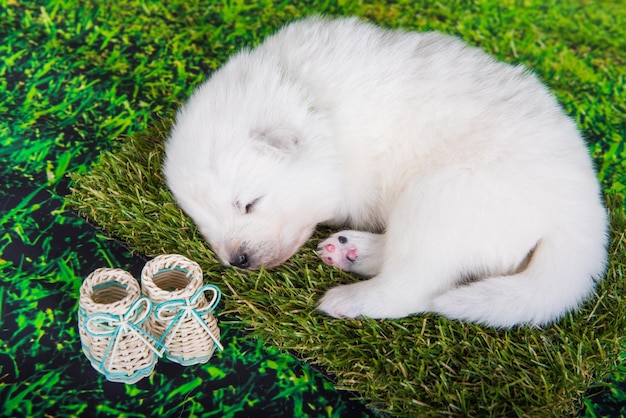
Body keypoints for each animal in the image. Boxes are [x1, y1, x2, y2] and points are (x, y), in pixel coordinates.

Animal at [163, 16, 608, 328]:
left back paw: (349, 297)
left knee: (412, 285)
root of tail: (582, 217)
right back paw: (350, 250)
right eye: (202, 220)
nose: (236, 260)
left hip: (442, 198)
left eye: (249, 203)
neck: (319, 108)